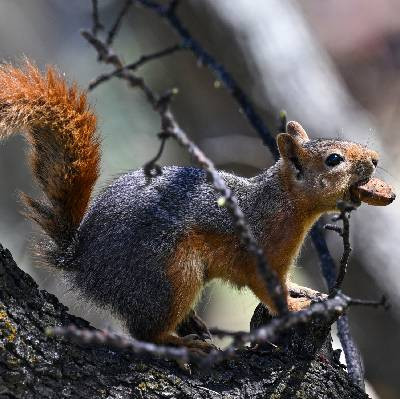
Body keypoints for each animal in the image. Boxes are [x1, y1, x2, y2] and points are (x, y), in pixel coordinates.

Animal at [0, 61, 394, 352]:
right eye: (333, 160)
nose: (376, 159)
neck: (281, 203)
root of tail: (82, 263)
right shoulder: (260, 257)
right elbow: (270, 292)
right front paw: (293, 308)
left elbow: (286, 282)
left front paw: (304, 291)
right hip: (170, 272)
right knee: (146, 332)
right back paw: (183, 344)